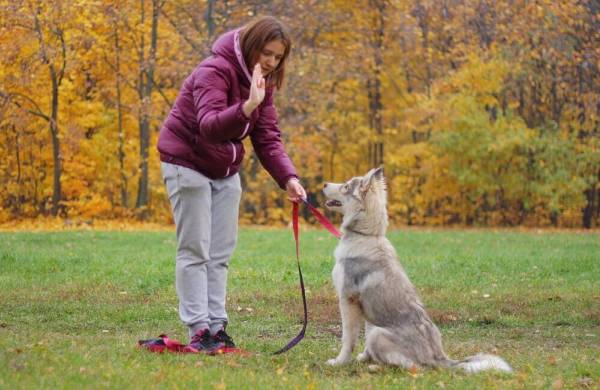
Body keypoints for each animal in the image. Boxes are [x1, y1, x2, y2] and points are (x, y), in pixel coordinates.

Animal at [322, 166, 512, 374]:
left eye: (346, 186)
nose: (324, 184)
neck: (366, 235)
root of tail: (439, 358)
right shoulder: (367, 308)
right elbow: (363, 336)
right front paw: (364, 357)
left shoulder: (348, 300)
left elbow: (348, 339)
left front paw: (340, 362)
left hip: (380, 335)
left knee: (416, 368)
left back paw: (376, 367)